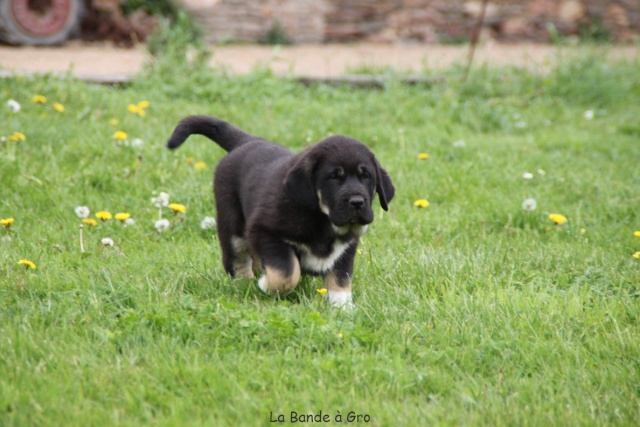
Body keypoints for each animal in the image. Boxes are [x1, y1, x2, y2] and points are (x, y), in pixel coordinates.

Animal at [168, 115, 392, 310]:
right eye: (333, 177)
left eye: (366, 176)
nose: (357, 202)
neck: (322, 219)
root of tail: (248, 141)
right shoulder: (266, 232)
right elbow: (286, 273)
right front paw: (266, 284)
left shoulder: (345, 248)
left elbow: (340, 278)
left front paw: (342, 307)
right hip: (233, 228)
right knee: (237, 261)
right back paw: (245, 284)